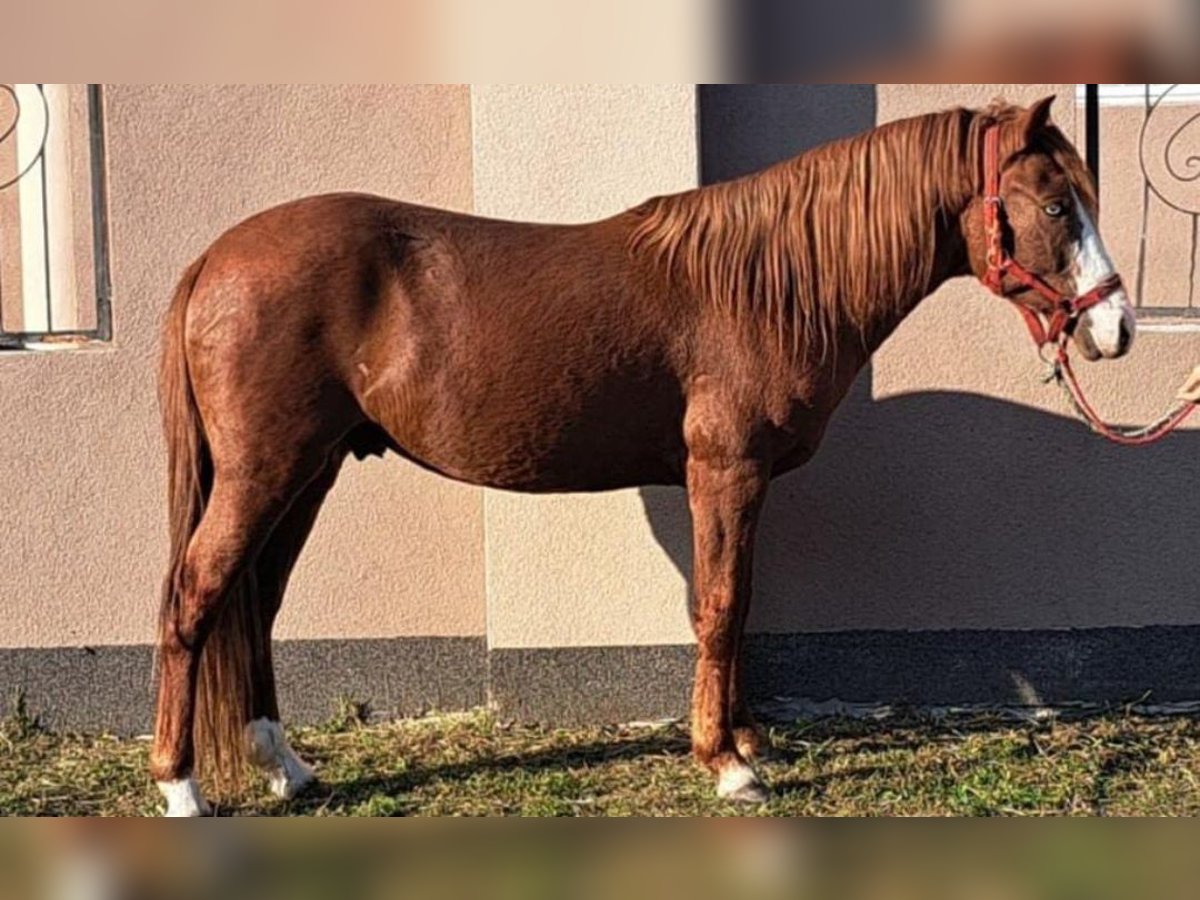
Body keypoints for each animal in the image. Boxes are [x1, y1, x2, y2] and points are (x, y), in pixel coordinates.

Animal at [150, 98, 1132, 816]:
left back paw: (287, 767)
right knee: (196, 596)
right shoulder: (723, 471)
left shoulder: (742, 481)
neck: (768, 284)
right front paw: (728, 764)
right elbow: (722, 605)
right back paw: (181, 786)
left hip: (308, 472)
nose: (1116, 328)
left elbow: (737, 606)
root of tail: (213, 260)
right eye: (1056, 204)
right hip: (264, 472)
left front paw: (744, 741)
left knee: (255, 601)